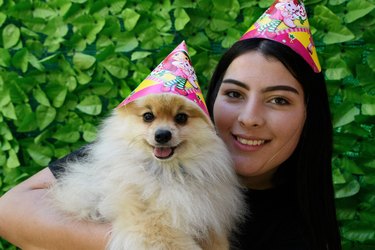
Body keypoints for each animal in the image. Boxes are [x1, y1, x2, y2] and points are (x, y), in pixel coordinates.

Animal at [47, 93, 247, 249]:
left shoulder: (208, 217)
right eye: (148, 116)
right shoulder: (146, 220)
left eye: (181, 118)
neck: (167, 171)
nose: (162, 135)